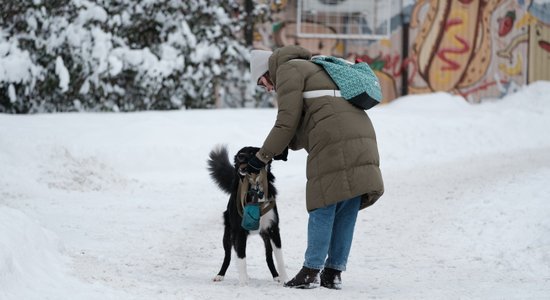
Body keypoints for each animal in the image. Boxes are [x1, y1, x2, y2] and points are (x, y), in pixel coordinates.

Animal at [208, 146, 288, 286]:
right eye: (240, 153)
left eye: (251, 152)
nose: (240, 157)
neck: (255, 190)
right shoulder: (239, 231)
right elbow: (241, 257)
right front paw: (244, 282)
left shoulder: (273, 229)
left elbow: (279, 257)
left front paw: (284, 279)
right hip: (228, 235)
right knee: (228, 256)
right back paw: (220, 275)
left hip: (265, 237)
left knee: (268, 257)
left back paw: (276, 276)